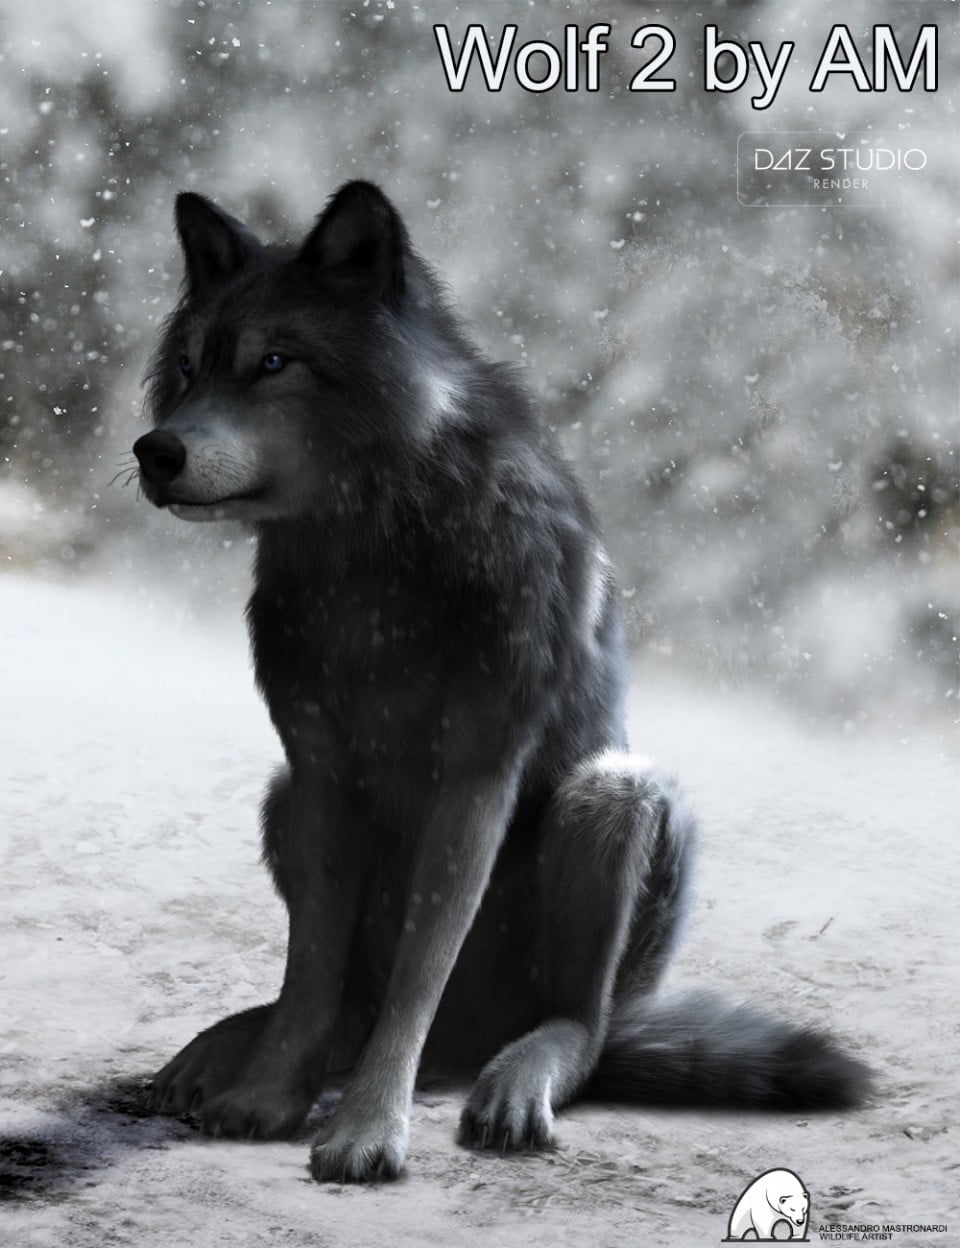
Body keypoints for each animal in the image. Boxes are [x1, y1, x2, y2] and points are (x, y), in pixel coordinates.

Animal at [133, 181, 870, 1183]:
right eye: (188, 369)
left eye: (274, 363)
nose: (154, 451)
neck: (369, 561)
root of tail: (472, 1047)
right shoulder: (319, 772)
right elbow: (310, 973)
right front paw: (269, 1099)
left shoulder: (478, 775)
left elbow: (420, 973)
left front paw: (367, 1133)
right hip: (280, 798)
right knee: (344, 1000)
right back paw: (222, 1048)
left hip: (611, 799)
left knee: (577, 1027)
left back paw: (519, 1077)